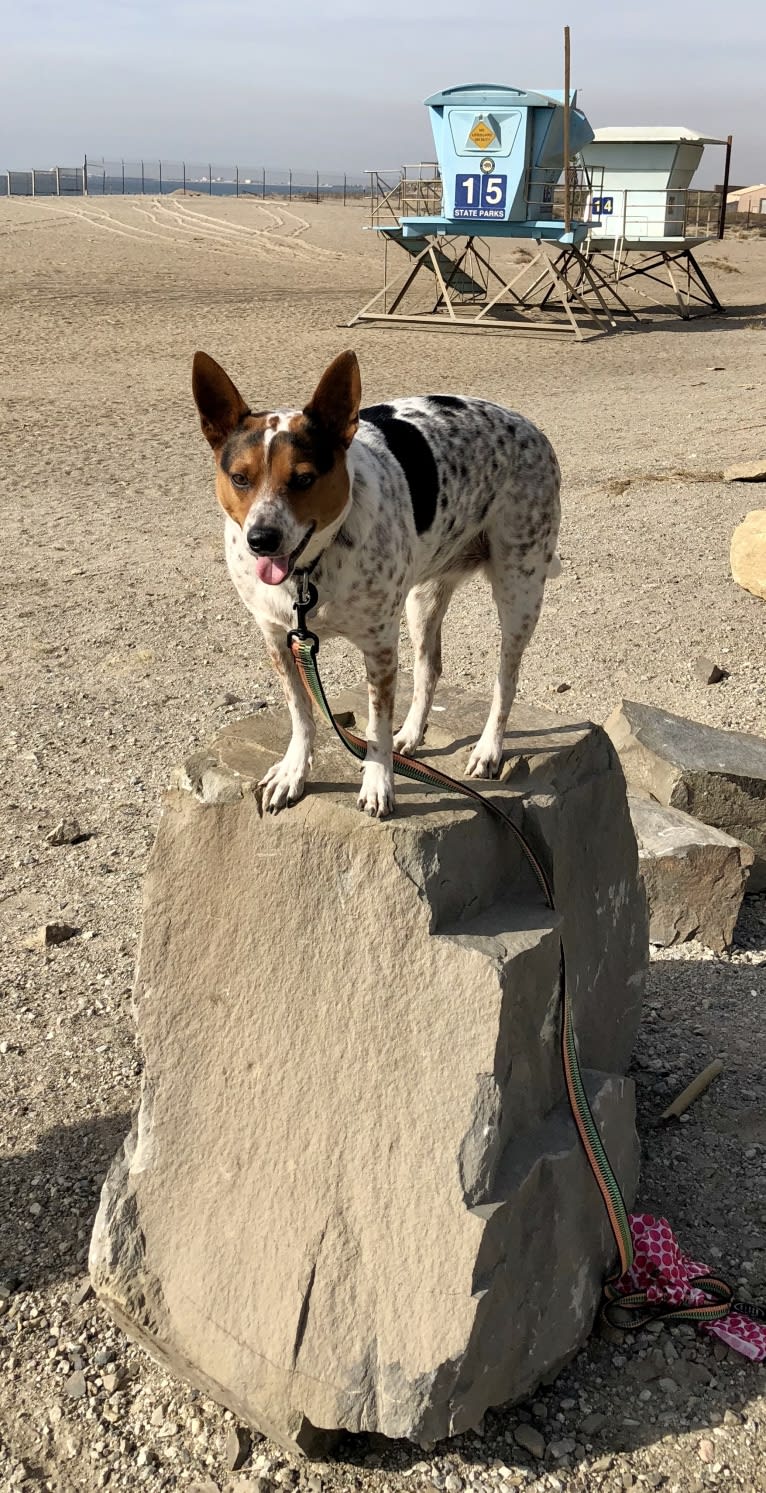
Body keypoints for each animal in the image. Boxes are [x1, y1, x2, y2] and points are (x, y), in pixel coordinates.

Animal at [194, 349, 558, 818]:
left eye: (304, 478)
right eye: (240, 478)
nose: (261, 539)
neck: (309, 574)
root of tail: (527, 424)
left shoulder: (380, 647)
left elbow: (375, 728)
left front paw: (378, 781)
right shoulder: (279, 640)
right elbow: (301, 714)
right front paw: (294, 771)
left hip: (519, 590)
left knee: (505, 679)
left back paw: (488, 749)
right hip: (423, 599)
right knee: (429, 668)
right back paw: (413, 733)